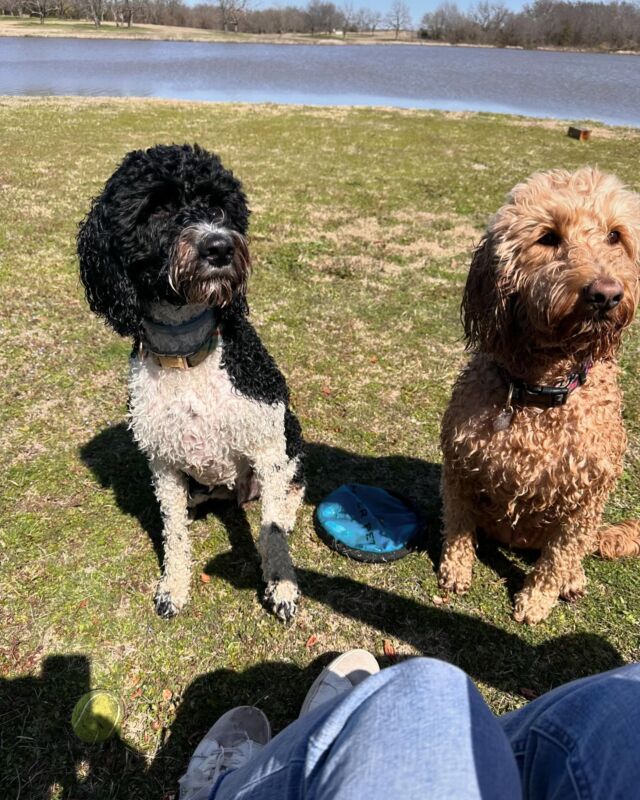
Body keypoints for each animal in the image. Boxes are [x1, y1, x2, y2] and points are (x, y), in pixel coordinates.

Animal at [79, 142, 304, 620]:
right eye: (158, 209)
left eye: (219, 206)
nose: (219, 246)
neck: (187, 355)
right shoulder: (163, 463)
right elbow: (174, 532)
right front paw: (174, 587)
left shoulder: (266, 441)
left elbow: (273, 529)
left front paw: (281, 587)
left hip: (289, 432)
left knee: (292, 484)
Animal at [440, 166, 640, 620]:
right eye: (548, 237)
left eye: (615, 235)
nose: (606, 294)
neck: (540, 391)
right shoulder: (459, 467)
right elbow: (458, 524)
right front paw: (456, 570)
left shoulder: (587, 498)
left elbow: (559, 555)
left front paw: (535, 601)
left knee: (575, 552)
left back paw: (573, 580)